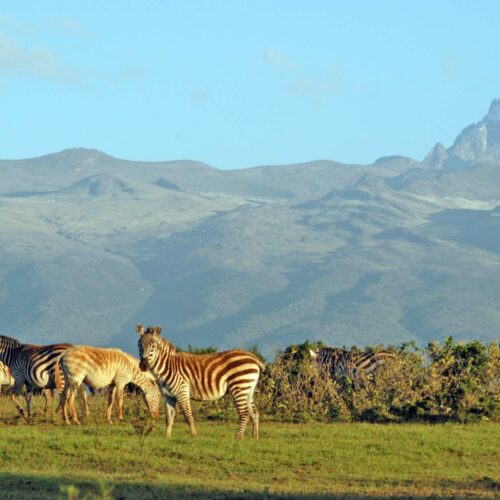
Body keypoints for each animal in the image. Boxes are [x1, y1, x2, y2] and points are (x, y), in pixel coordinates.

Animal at [135, 324, 264, 438]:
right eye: (139, 345)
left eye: (153, 346)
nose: (143, 365)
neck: (167, 366)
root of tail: (254, 357)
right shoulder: (169, 396)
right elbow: (169, 418)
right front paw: (167, 437)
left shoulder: (182, 392)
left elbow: (188, 415)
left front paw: (193, 435)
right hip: (248, 389)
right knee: (254, 413)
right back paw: (255, 437)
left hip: (239, 386)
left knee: (245, 413)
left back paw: (238, 437)